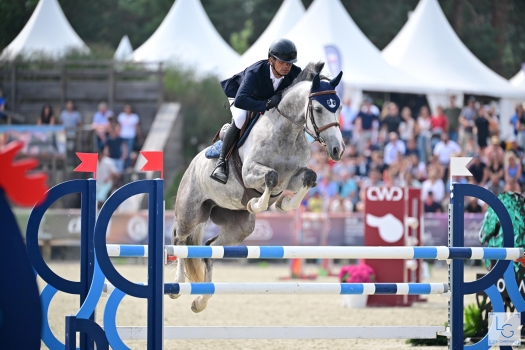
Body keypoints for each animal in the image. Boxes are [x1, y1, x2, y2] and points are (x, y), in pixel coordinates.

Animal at [170, 62, 346, 312]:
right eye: (319, 109)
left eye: (338, 107)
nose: (337, 150)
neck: (287, 133)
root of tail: (191, 165)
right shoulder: (251, 173)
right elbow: (270, 177)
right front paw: (255, 203)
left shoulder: (291, 179)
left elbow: (309, 178)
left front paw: (283, 204)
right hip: (190, 213)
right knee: (180, 241)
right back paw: (177, 286)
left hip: (240, 227)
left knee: (210, 250)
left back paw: (201, 300)